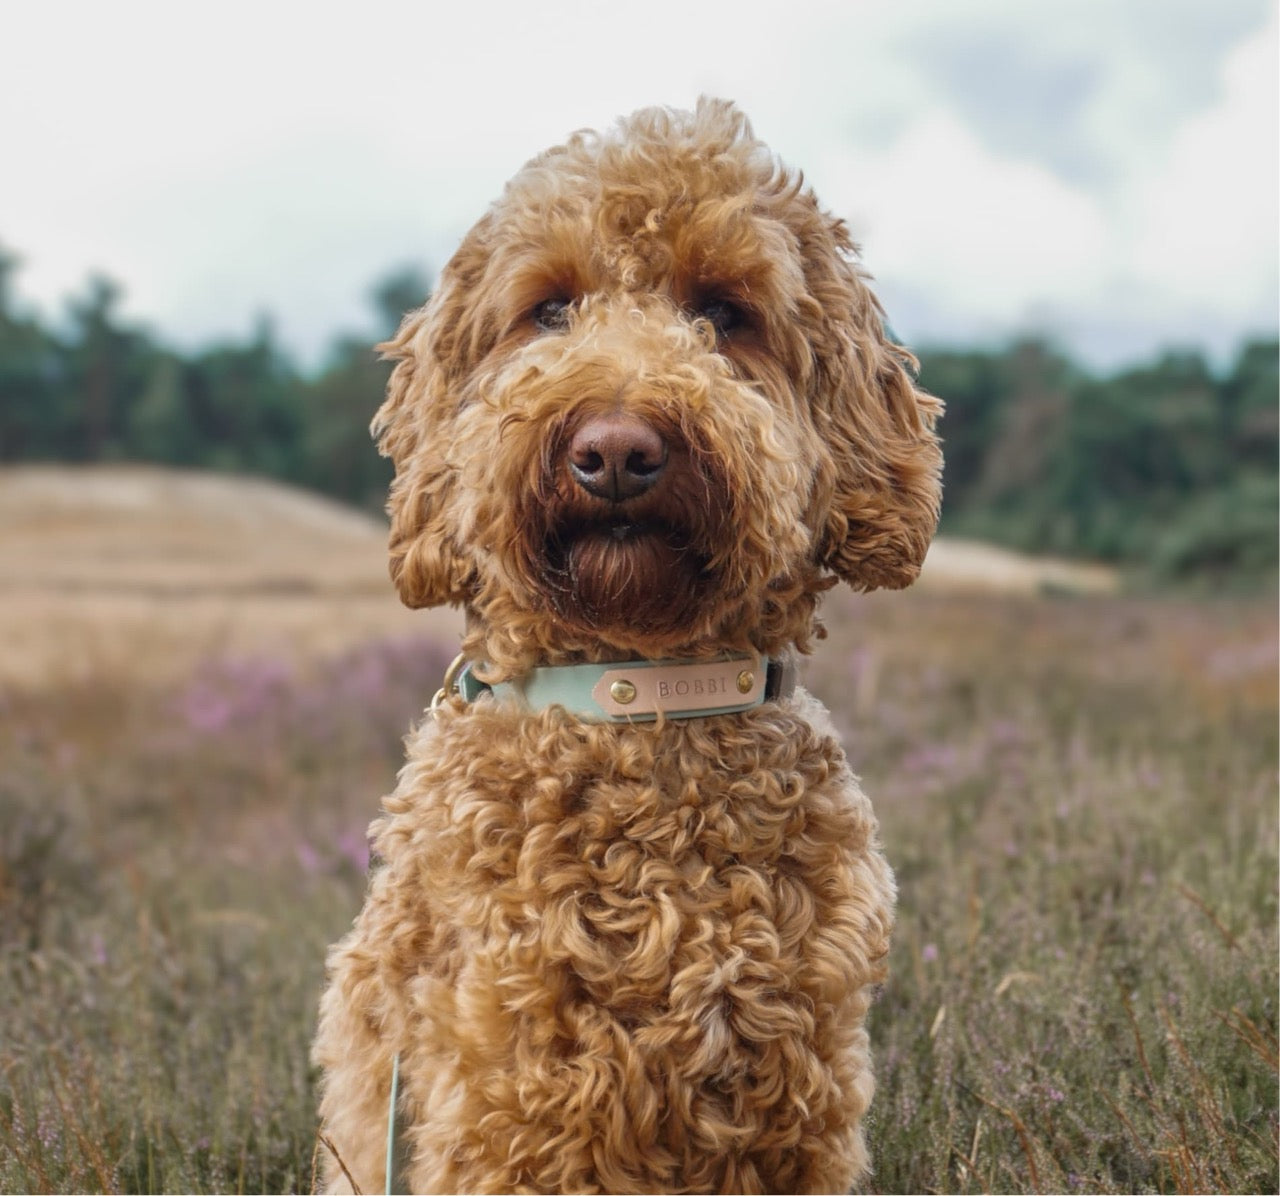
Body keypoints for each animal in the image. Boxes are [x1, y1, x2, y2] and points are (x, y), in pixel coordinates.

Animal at [312, 98, 942, 1193]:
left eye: (724, 310)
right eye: (548, 308)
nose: (613, 449)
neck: (638, 696)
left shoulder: (798, 1103)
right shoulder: (510, 1107)